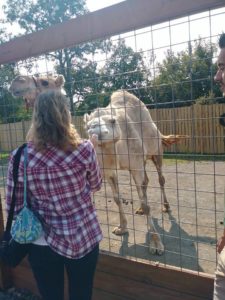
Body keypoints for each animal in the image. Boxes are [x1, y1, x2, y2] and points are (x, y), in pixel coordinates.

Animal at [83, 90, 187, 254]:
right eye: (88, 126)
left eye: (113, 121)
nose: (96, 132)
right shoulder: (109, 171)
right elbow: (117, 198)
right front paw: (122, 228)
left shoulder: (136, 164)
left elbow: (147, 204)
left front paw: (156, 243)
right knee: (146, 182)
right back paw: (139, 209)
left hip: (156, 152)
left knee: (160, 179)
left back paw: (166, 206)